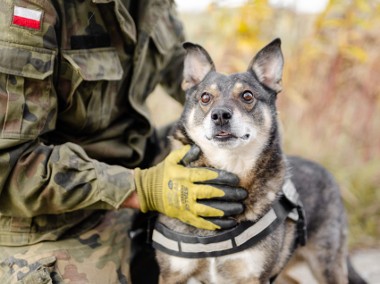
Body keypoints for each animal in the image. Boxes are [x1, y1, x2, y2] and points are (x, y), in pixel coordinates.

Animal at [152, 38, 368, 284]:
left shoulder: (253, 275)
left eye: (247, 96)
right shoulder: (172, 274)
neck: (229, 169)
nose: (220, 115)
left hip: (327, 265)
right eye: (205, 97)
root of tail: (325, 171)